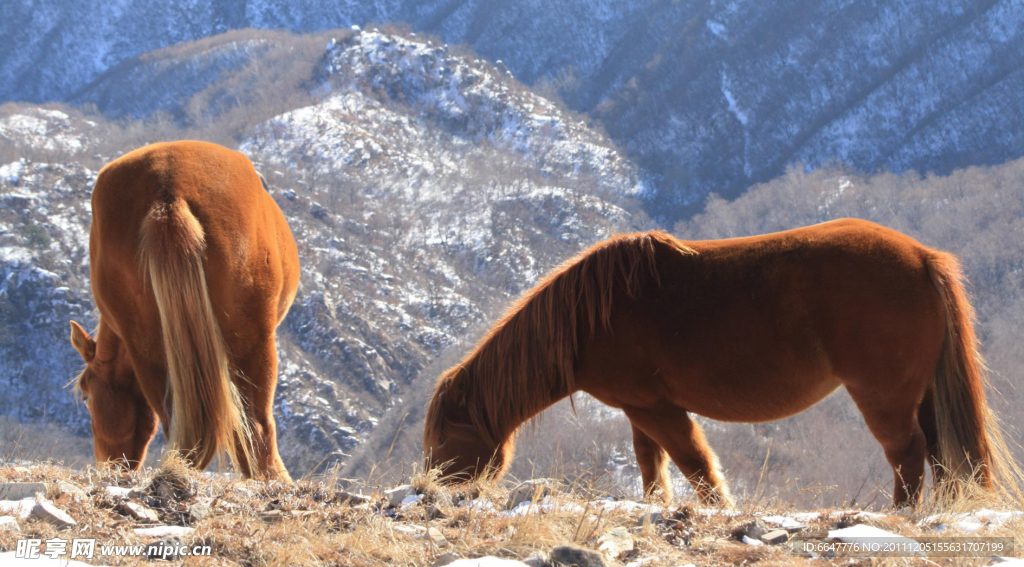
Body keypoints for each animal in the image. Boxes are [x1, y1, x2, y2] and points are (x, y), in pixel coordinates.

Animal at [69, 139, 296, 478]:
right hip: (250, 340)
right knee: (255, 425)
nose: (108, 465)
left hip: (151, 346)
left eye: (86, 396)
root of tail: (169, 190)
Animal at [421, 217, 1015, 505]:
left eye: (446, 437)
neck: (590, 318)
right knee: (939, 453)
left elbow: (694, 463)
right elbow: (652, 465)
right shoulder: (640, 409)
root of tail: (921, 258)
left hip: (883, 396)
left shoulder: (654, 407)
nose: (426, 488)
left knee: (908, 455)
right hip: (924, 392)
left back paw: (897, 517)